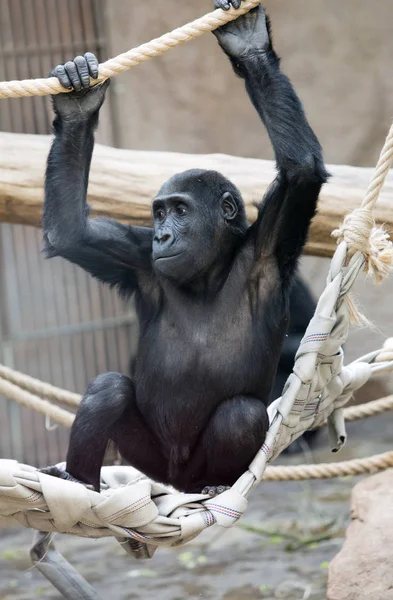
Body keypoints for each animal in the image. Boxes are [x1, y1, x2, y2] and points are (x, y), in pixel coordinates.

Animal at [41, 2, 326, 494]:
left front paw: (249, 45)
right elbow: (70, 231)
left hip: (197, 468)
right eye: (157, 214)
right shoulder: (136, 260)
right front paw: (78, 103)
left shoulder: (270, 246)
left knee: (240, 413)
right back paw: (80, 482)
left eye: (179, 210)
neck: (209, 272)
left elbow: (301, 168)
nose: (163, 235)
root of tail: (176, 483)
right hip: (147, 458)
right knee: (110, 388)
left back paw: (218, 488)